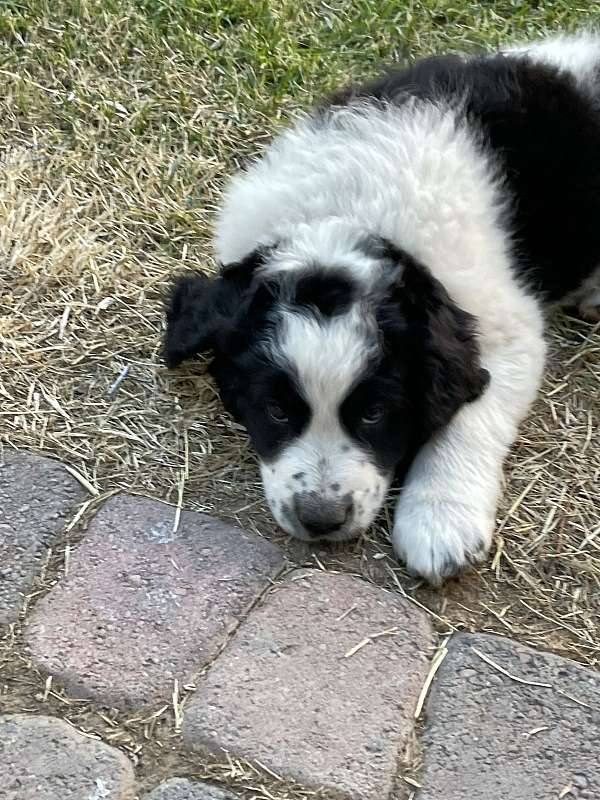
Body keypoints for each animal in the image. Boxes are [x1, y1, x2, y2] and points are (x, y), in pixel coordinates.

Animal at [164, 34, 600, 584]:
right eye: (276, 410)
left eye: (374, 414)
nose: (321, 519)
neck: (347, 211)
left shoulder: (503, 329)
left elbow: (468, 415)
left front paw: (439, 521)